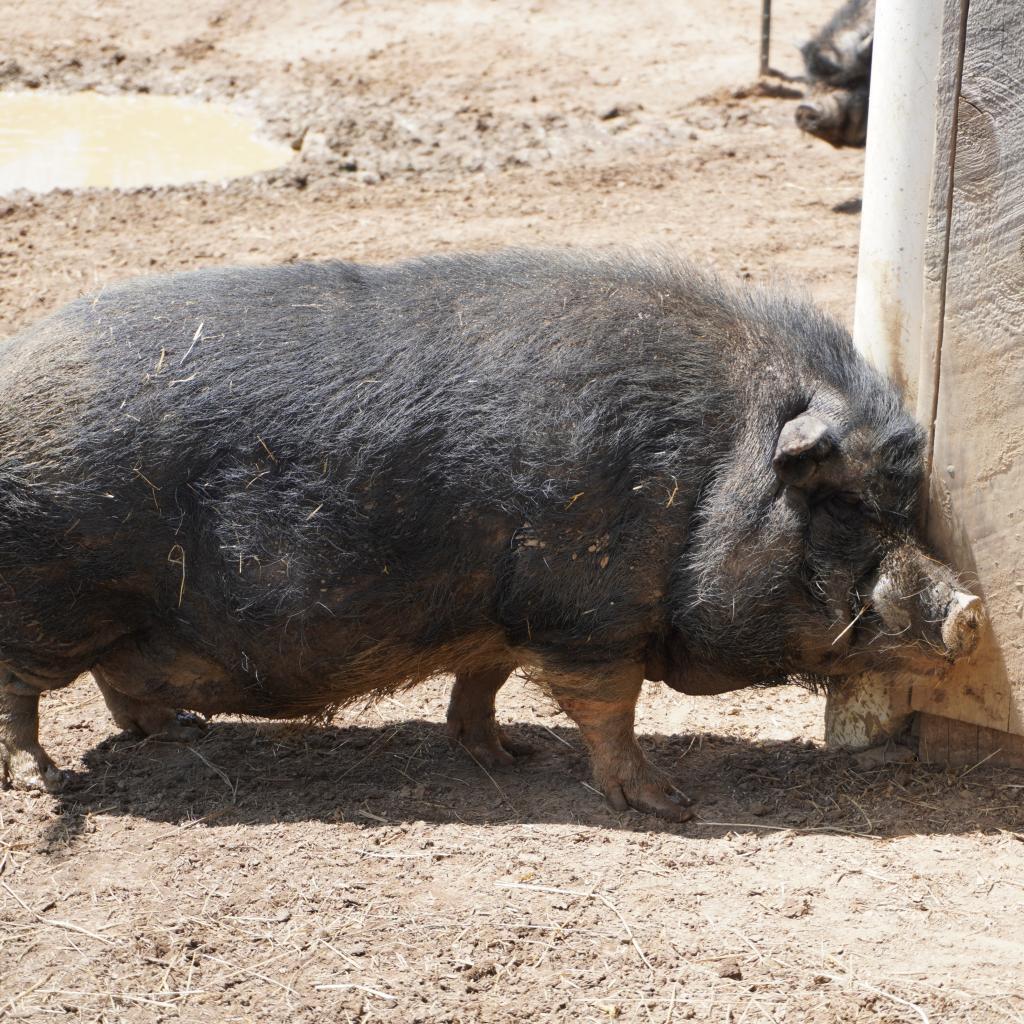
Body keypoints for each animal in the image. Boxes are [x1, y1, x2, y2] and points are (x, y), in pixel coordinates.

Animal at [0, 250, 982, 820]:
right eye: (843, 504)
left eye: (904, 506)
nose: (970, 607)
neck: (713, 466)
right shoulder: (588, 612)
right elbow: (610, 710)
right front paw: (670, 805)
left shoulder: (500, 614)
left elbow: (484, 680)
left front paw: (509, 756)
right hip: (47, 600)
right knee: (22, 696)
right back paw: (45, 783)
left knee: (120, 681)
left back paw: (178, 731)